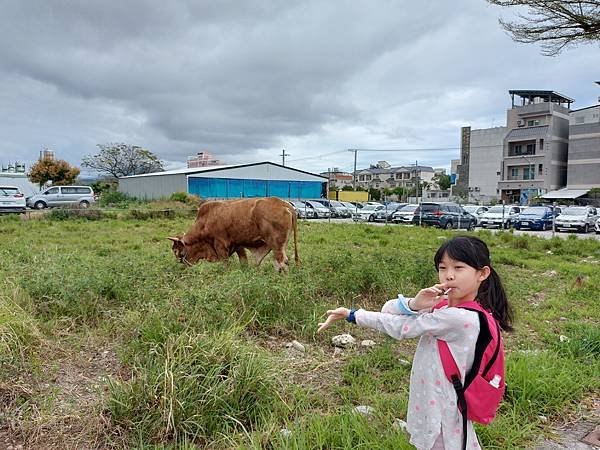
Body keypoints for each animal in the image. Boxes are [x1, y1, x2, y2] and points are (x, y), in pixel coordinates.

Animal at [168, 196, 298, 270]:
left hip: (277, 245)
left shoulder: (220, 247)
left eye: (176, 251)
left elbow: (226, 266)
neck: (205, 223)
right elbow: (244, 263)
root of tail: (283, 203)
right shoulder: (238, 245)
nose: (182, 265)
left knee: (283, 263)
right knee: (278, 264)